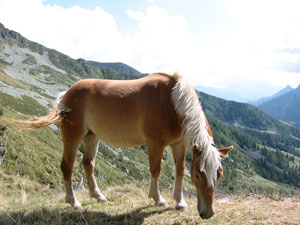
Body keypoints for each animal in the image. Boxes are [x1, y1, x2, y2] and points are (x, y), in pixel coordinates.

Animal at [11, 73, 232, 219]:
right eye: (198, 176)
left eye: (219, 174)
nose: (207, 213)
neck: (172, 102)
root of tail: (67, 93)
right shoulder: (155, 143)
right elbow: (156, 170)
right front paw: (158, 199)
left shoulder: (179, 143)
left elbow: (179, 170)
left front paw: (179, 201)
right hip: (73, 138)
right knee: (67, 166)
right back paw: (74, 202)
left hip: (92, 136)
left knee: (88, 164)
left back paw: (98, 196)